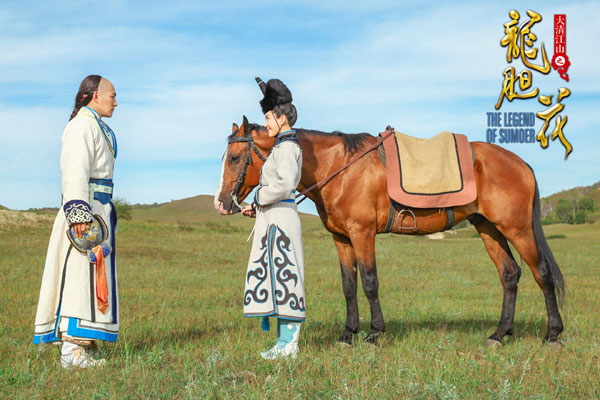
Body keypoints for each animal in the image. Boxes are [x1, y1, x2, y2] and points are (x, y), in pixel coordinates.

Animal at [215, 116, 565, 347]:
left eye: (234, 157)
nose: (222, 203)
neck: (339, 168)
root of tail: (520, 163)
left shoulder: (362, 234)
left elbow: (370, 283)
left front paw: (374, 333)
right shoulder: (342, 239)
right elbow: (349, 286)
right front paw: (348, 334)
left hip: (517, 229)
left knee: (542, 274)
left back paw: (552, 334)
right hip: (489, 228)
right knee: (510, 275)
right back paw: (499, 334)